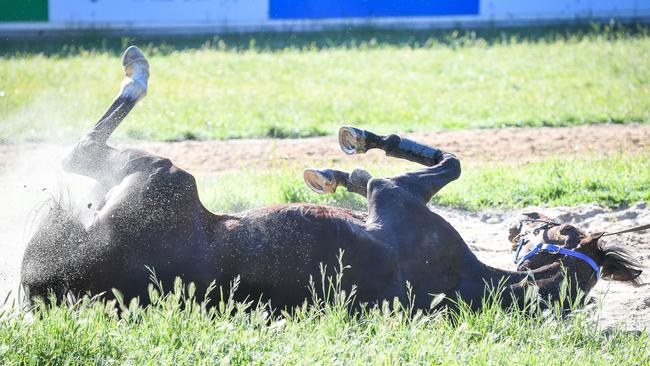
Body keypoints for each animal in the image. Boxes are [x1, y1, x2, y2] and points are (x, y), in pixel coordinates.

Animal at [19, 45, 636, 308]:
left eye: (553, 228)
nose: (523, 219)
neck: (470, 281)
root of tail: (42, 281)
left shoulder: (394, 197)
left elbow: (435, 165)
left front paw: (350, 156)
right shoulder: (395, 198)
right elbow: (441, 163)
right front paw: (343, 164)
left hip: (163, 175)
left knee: (80, 152)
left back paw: (137, 67)